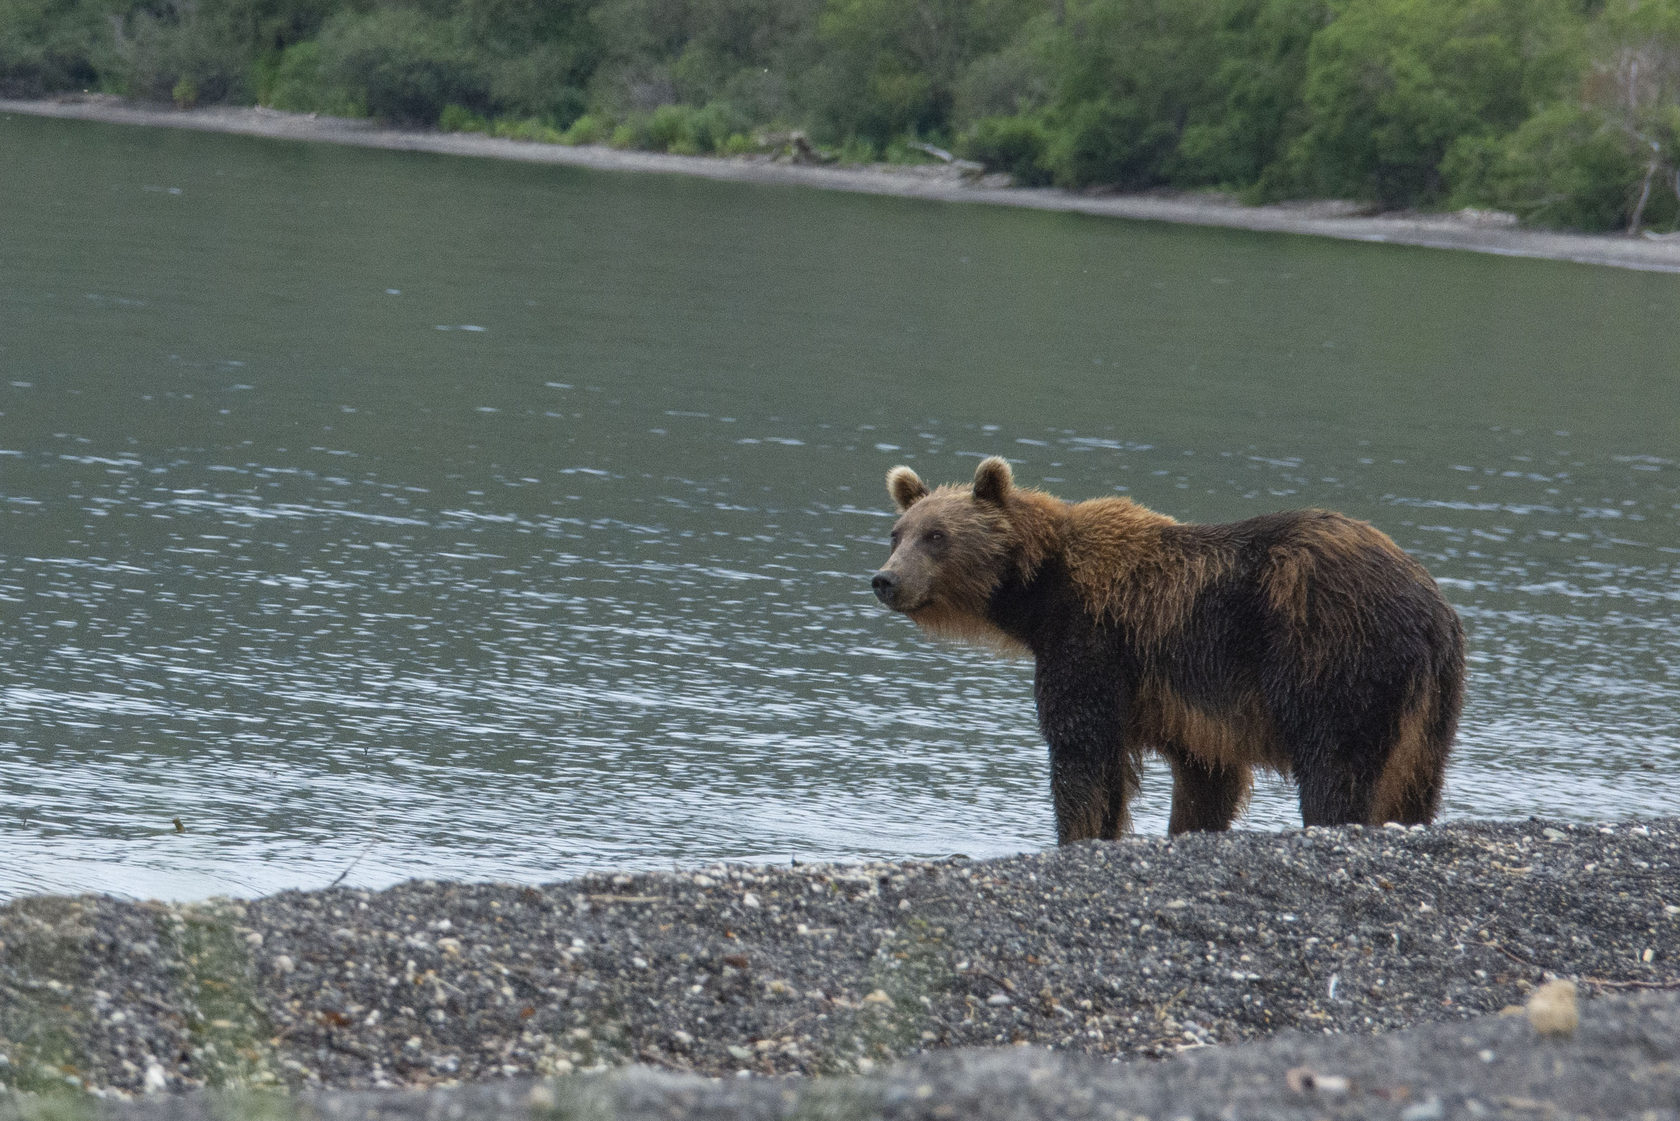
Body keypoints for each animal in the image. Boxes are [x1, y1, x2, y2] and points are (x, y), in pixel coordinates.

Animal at [873, 457, 1464, 840]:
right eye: (897, 533)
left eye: (937, 536)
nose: (885, 580)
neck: (1039, 593)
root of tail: (1430, 603)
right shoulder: (1192, 706)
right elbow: (1205, 779)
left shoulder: (1092, 643)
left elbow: (1082, 749)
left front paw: (1079, 833)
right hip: (1432, 702)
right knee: (1415, 782)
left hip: (1331, 652)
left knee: (1334, 764)